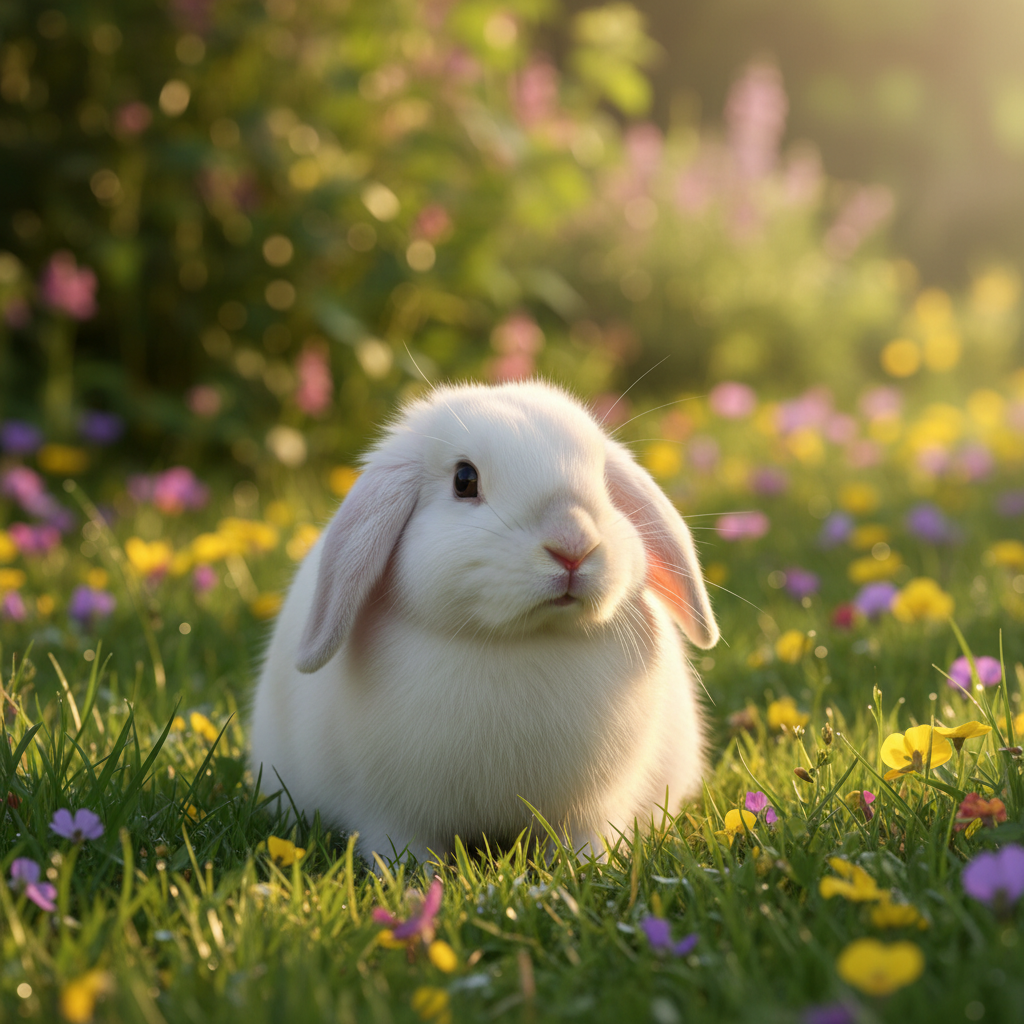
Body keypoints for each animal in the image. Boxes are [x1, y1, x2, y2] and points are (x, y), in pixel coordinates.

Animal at [248, 379, 718, 865]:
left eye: (606, 485)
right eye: (464, 480)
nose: (573, 544)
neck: (522, 641)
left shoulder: (592, 810)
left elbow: (584, 840)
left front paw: (584, 866)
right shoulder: (390, 814)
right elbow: (404, 846)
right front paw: (419, 875)